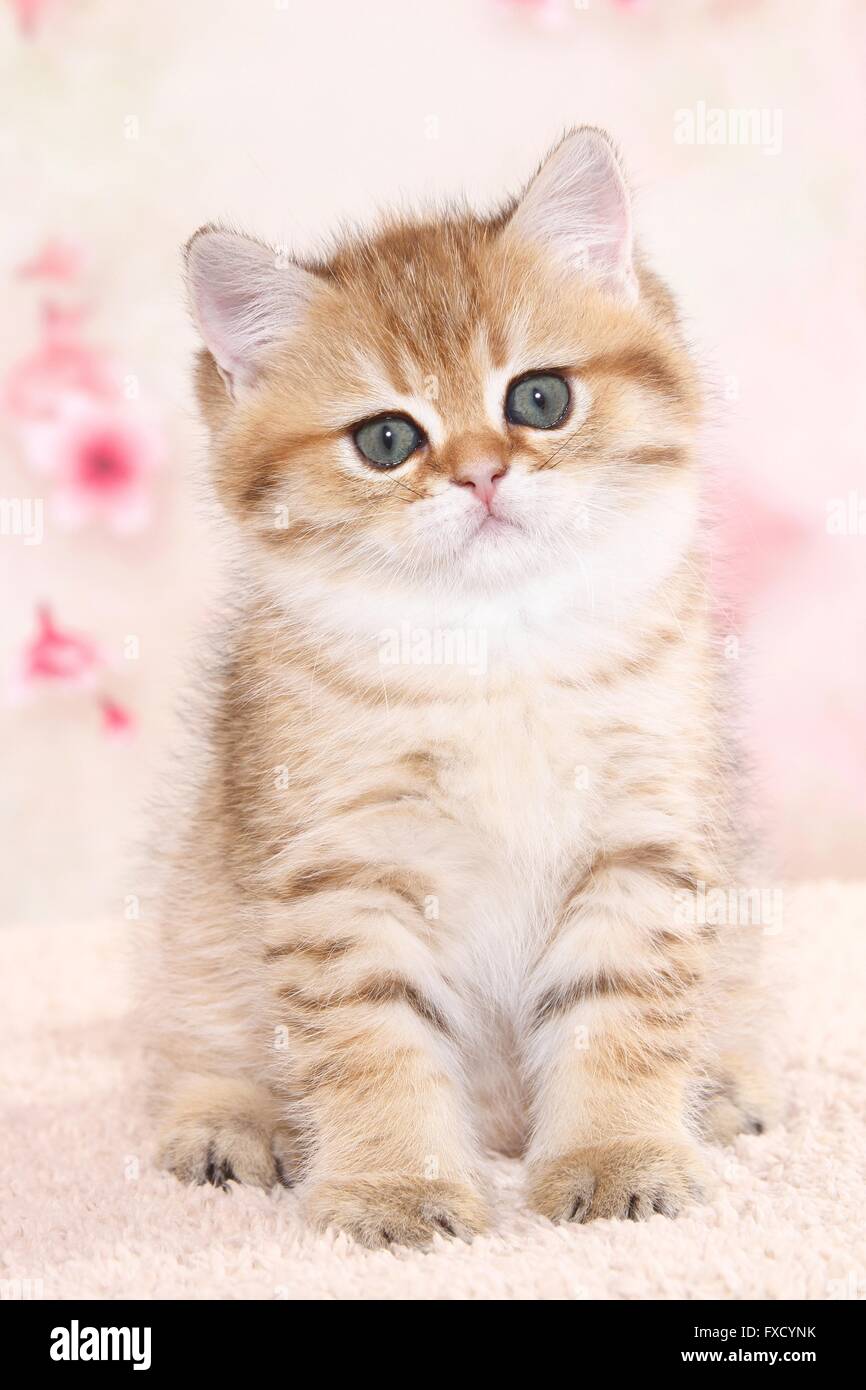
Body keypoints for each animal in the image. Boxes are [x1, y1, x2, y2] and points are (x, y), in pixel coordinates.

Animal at [143, 130, 772, 1245]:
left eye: (539, 399)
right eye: (387, 439)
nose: (481, 473)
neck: (494, 656)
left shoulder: (644, 838)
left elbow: (622, 1015)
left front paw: (617, 1156)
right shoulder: (342, 874)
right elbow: (372, 1045)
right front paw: (395, 1185)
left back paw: (718, 1090)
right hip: (195, 900)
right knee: (201, 1027)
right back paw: (226, 1119)